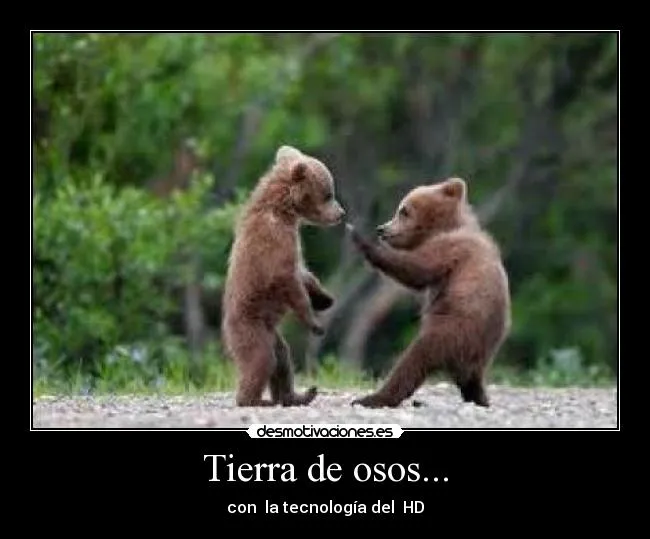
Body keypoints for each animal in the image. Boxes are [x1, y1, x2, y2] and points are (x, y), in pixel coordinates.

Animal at [222, 145, 346, 407]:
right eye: (328, 194)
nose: (341, 213)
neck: (283, 210)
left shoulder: (292, 242)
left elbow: (303, 272)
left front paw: (324, 298)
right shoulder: (274, 240)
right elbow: (287, 279)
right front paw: (315, 323)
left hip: (271, 332)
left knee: (282, 359)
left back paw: (298, 395)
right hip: (251, 327)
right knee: (261, 360)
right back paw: (255, 400)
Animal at [346, 177, 511, 408]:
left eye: (403, 211)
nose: (382, 229)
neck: (444, 227)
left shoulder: (451, 248)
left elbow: (416, 269)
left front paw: (358, 236)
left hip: (453, 330)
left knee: (414, 359)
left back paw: (373, 398)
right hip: (476, 350)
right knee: (470, 379)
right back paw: (480, 398)